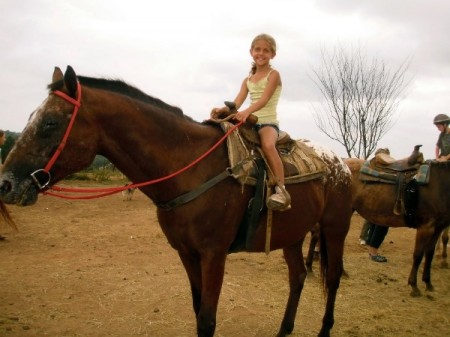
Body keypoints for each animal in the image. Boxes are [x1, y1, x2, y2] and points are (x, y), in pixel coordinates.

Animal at [0, 66, 354, 336]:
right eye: (32, 117)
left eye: (50, 122)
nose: (5, 183)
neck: (193, 167)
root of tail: (342, 164)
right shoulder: (186, 253)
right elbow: (197, 310)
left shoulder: (214, 254)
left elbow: (207, 320)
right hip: (293, 235)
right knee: (298, 278)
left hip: (334, 230)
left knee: (333, 279)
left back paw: (325, 328)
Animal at [344, 156, 446, 296]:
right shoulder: (425, 228)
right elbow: (418, 255)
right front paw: (414, 286)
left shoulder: (437, 228)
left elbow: (429, 254)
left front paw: (428, 283)